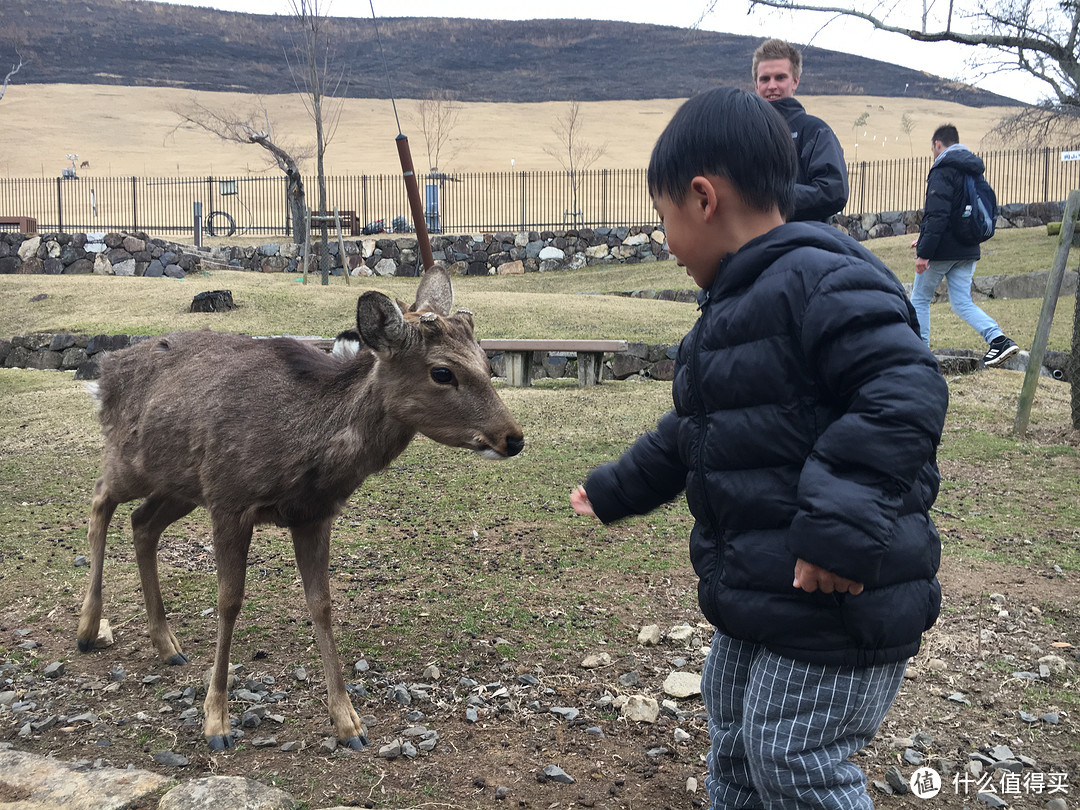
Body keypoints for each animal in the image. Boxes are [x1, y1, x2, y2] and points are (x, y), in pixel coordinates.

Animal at [76, 267, 522, 756]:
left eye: (487, 362)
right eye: (442, 371)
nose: (513, 437)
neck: (306, 446)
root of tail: (104, 370)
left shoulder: (314, 514)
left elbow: (321, 604)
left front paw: (348, 722)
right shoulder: (229, 499)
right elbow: (229, 601)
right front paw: (216, 721)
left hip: (181, 485)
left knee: (141, 523)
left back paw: (167, 643)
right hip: (131, 458)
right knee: (100, 500)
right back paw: (88, 629)